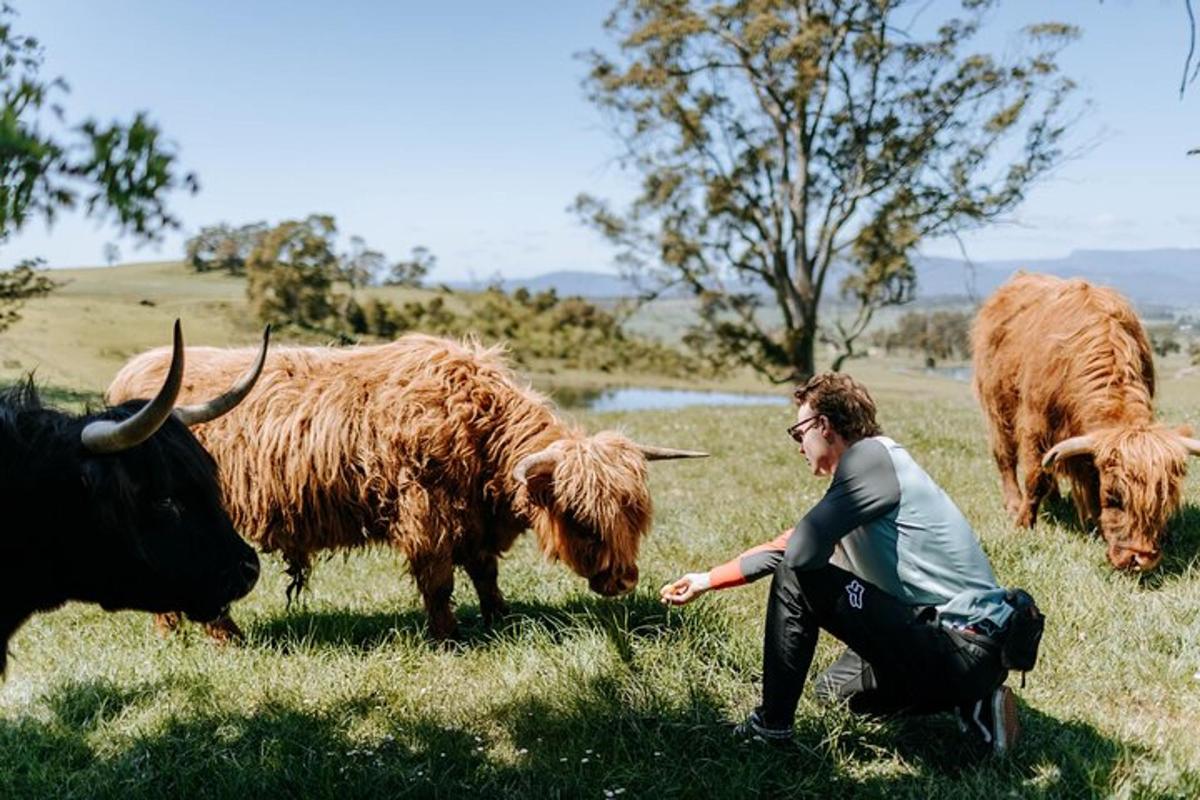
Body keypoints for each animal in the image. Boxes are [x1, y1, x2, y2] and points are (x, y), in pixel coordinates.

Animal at [108, 335, 705, 642]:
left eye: (635, 515)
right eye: (582, 520)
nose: (623, 581)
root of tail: (128, 380)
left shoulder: (472, 518)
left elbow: (484, 573)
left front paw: (500, 618)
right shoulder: (427, 513)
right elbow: (438, 580)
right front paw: (448, 637)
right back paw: (210, 635)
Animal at [969, 272, 1195, 573]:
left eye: (1165, 500)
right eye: (1114, 497)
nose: (1140, 560)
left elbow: (1082, 476)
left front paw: (1093, 525)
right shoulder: (1035, 426)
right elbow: (1035, 478)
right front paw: (1023, 524)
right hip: (997, 408)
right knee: (1005, 457)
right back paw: (1014, 504)